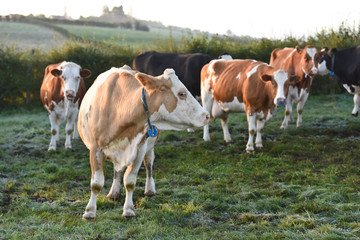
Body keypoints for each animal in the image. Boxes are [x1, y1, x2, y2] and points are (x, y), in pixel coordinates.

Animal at [77, 64, 210, 218]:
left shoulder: (139, 149)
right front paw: (90, 211)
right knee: (117, 169)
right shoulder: (95, 149)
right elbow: (96, 183)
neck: (119, 108)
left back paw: (149, 188)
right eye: (182, 93)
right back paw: (114, 192)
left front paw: (129, 209)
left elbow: (130, 181)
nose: (206, 115)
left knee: (149, 164)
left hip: (149, 147)